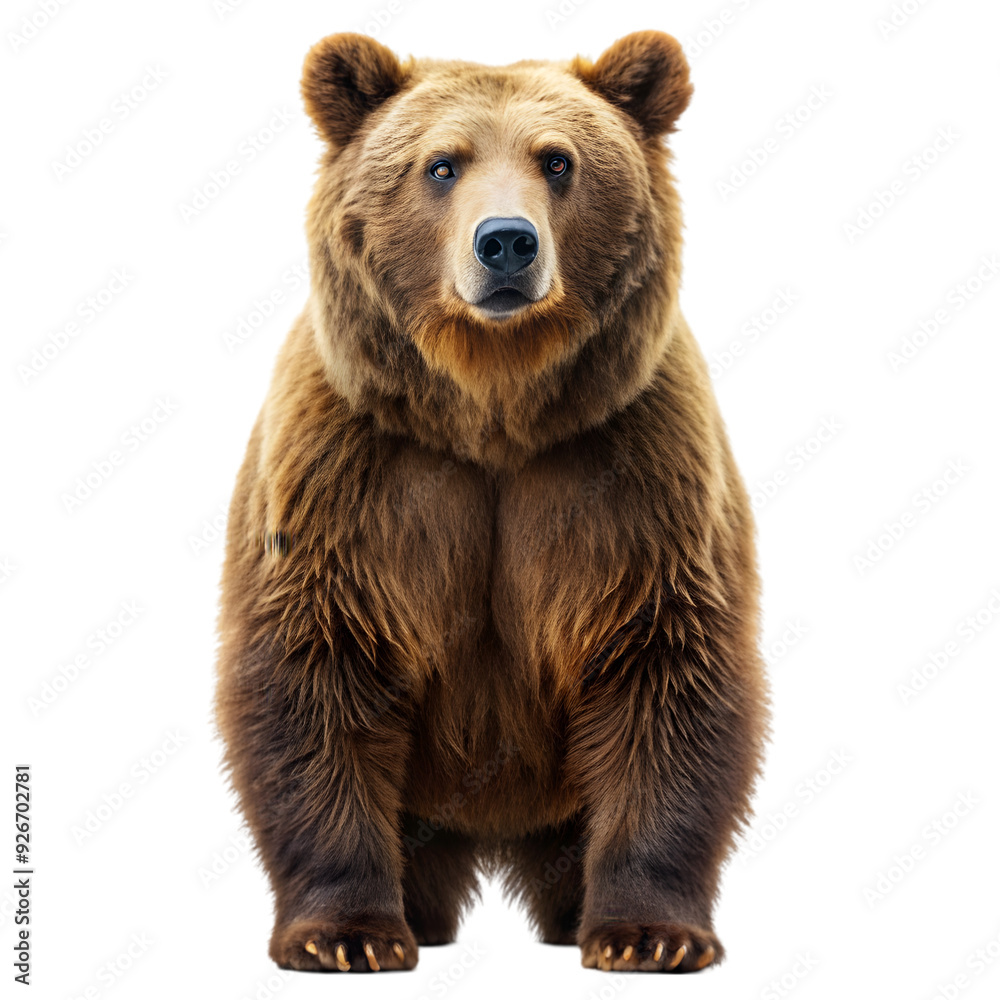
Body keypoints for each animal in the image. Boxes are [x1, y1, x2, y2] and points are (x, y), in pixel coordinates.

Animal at [214, 29, 769, 975]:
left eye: (558, 160)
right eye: (442, 165)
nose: (506, 242)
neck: (493, 406)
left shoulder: (632, 472)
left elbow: (666, 666)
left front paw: (649, 934)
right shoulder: (353, 475)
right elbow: (314, 668)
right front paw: (346, 934)